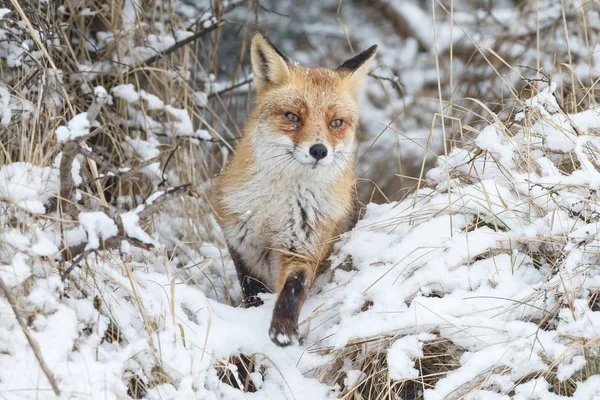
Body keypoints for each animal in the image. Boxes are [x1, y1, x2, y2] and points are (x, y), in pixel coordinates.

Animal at [211, 33, 376, 346]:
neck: (275, 208)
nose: (319, 150)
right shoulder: (239, 243)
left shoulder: (305, 247)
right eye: (292, 116)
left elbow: (294, 287)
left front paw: (283, 329)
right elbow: (250, 291)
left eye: (336, 122)